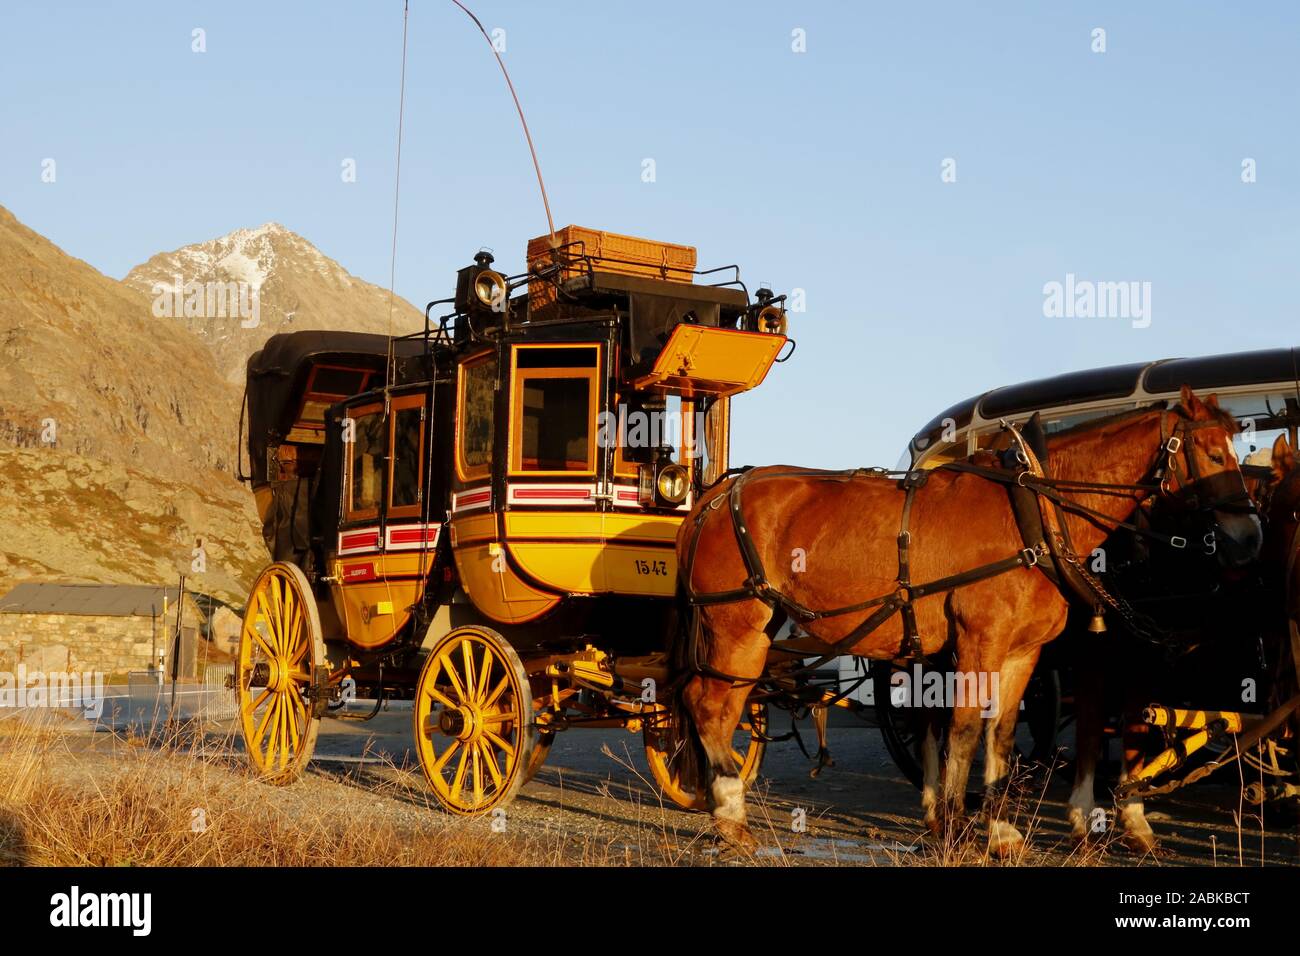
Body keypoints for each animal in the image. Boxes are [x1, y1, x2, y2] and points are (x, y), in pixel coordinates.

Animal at [681, 387, 1258, 853]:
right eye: (1213, 454)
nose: (1250, 536)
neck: (1032, 515)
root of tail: (715, 495)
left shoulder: (1023, 653)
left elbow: (999, 732)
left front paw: (999, 830)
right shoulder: (981, 643)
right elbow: (961, 730)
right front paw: (955, 827)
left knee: (721, 706)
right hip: (737, 627)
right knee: (708, 703)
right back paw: (730, 812)